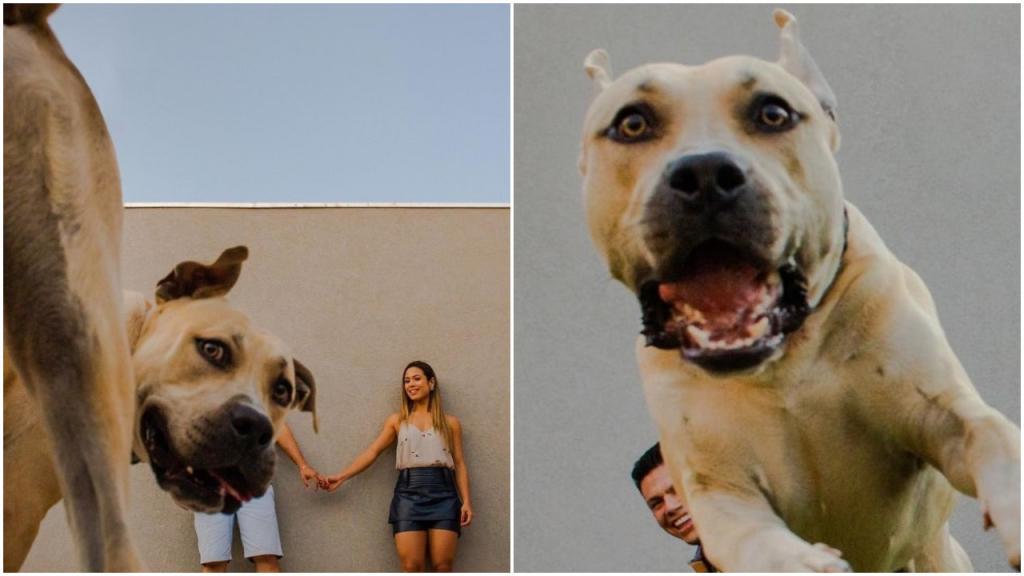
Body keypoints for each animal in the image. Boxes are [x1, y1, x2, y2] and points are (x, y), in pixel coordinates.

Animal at [581, 8, 1019, 569]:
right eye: (632, 123)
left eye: (773, 113)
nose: (704, 173)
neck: (785, 362)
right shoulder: (718, 489)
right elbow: (753, 538)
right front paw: (803, 561)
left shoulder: (939, 415)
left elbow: (990, 433)